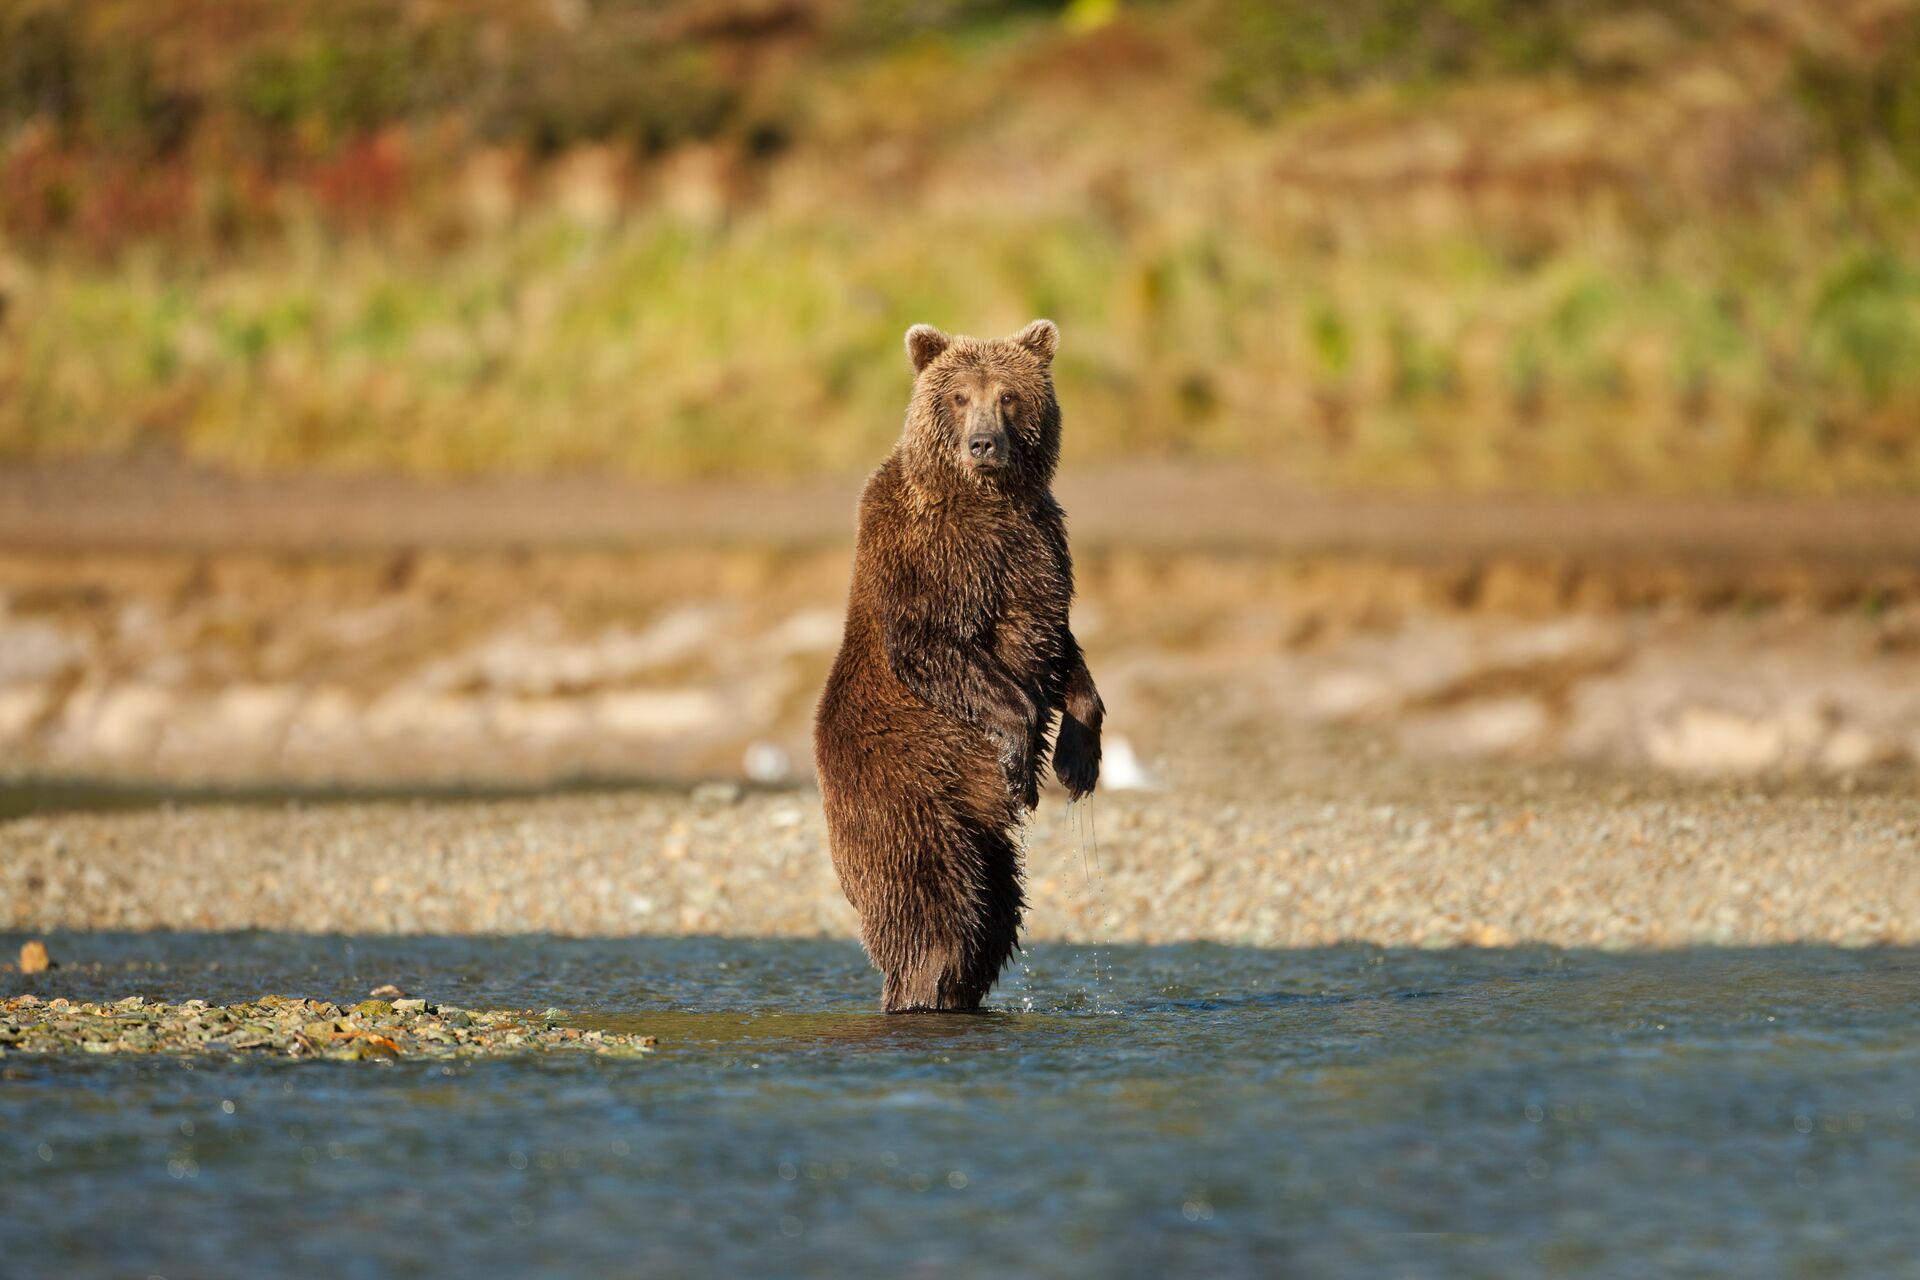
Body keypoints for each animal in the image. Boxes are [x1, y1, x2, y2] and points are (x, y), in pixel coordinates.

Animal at [814, 318, 1105, 1013]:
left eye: (1009, 396)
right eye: (958, 396)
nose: (983, 444)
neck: (987, 500)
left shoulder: (1037, 547)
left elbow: (1061, 648)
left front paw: (1077, 759)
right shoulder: (936, 555)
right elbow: (935, 646)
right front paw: (1022, 765)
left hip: (981, 837)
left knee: (993, 911)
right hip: (909, 789)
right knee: (934, 904)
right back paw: (919, 988)